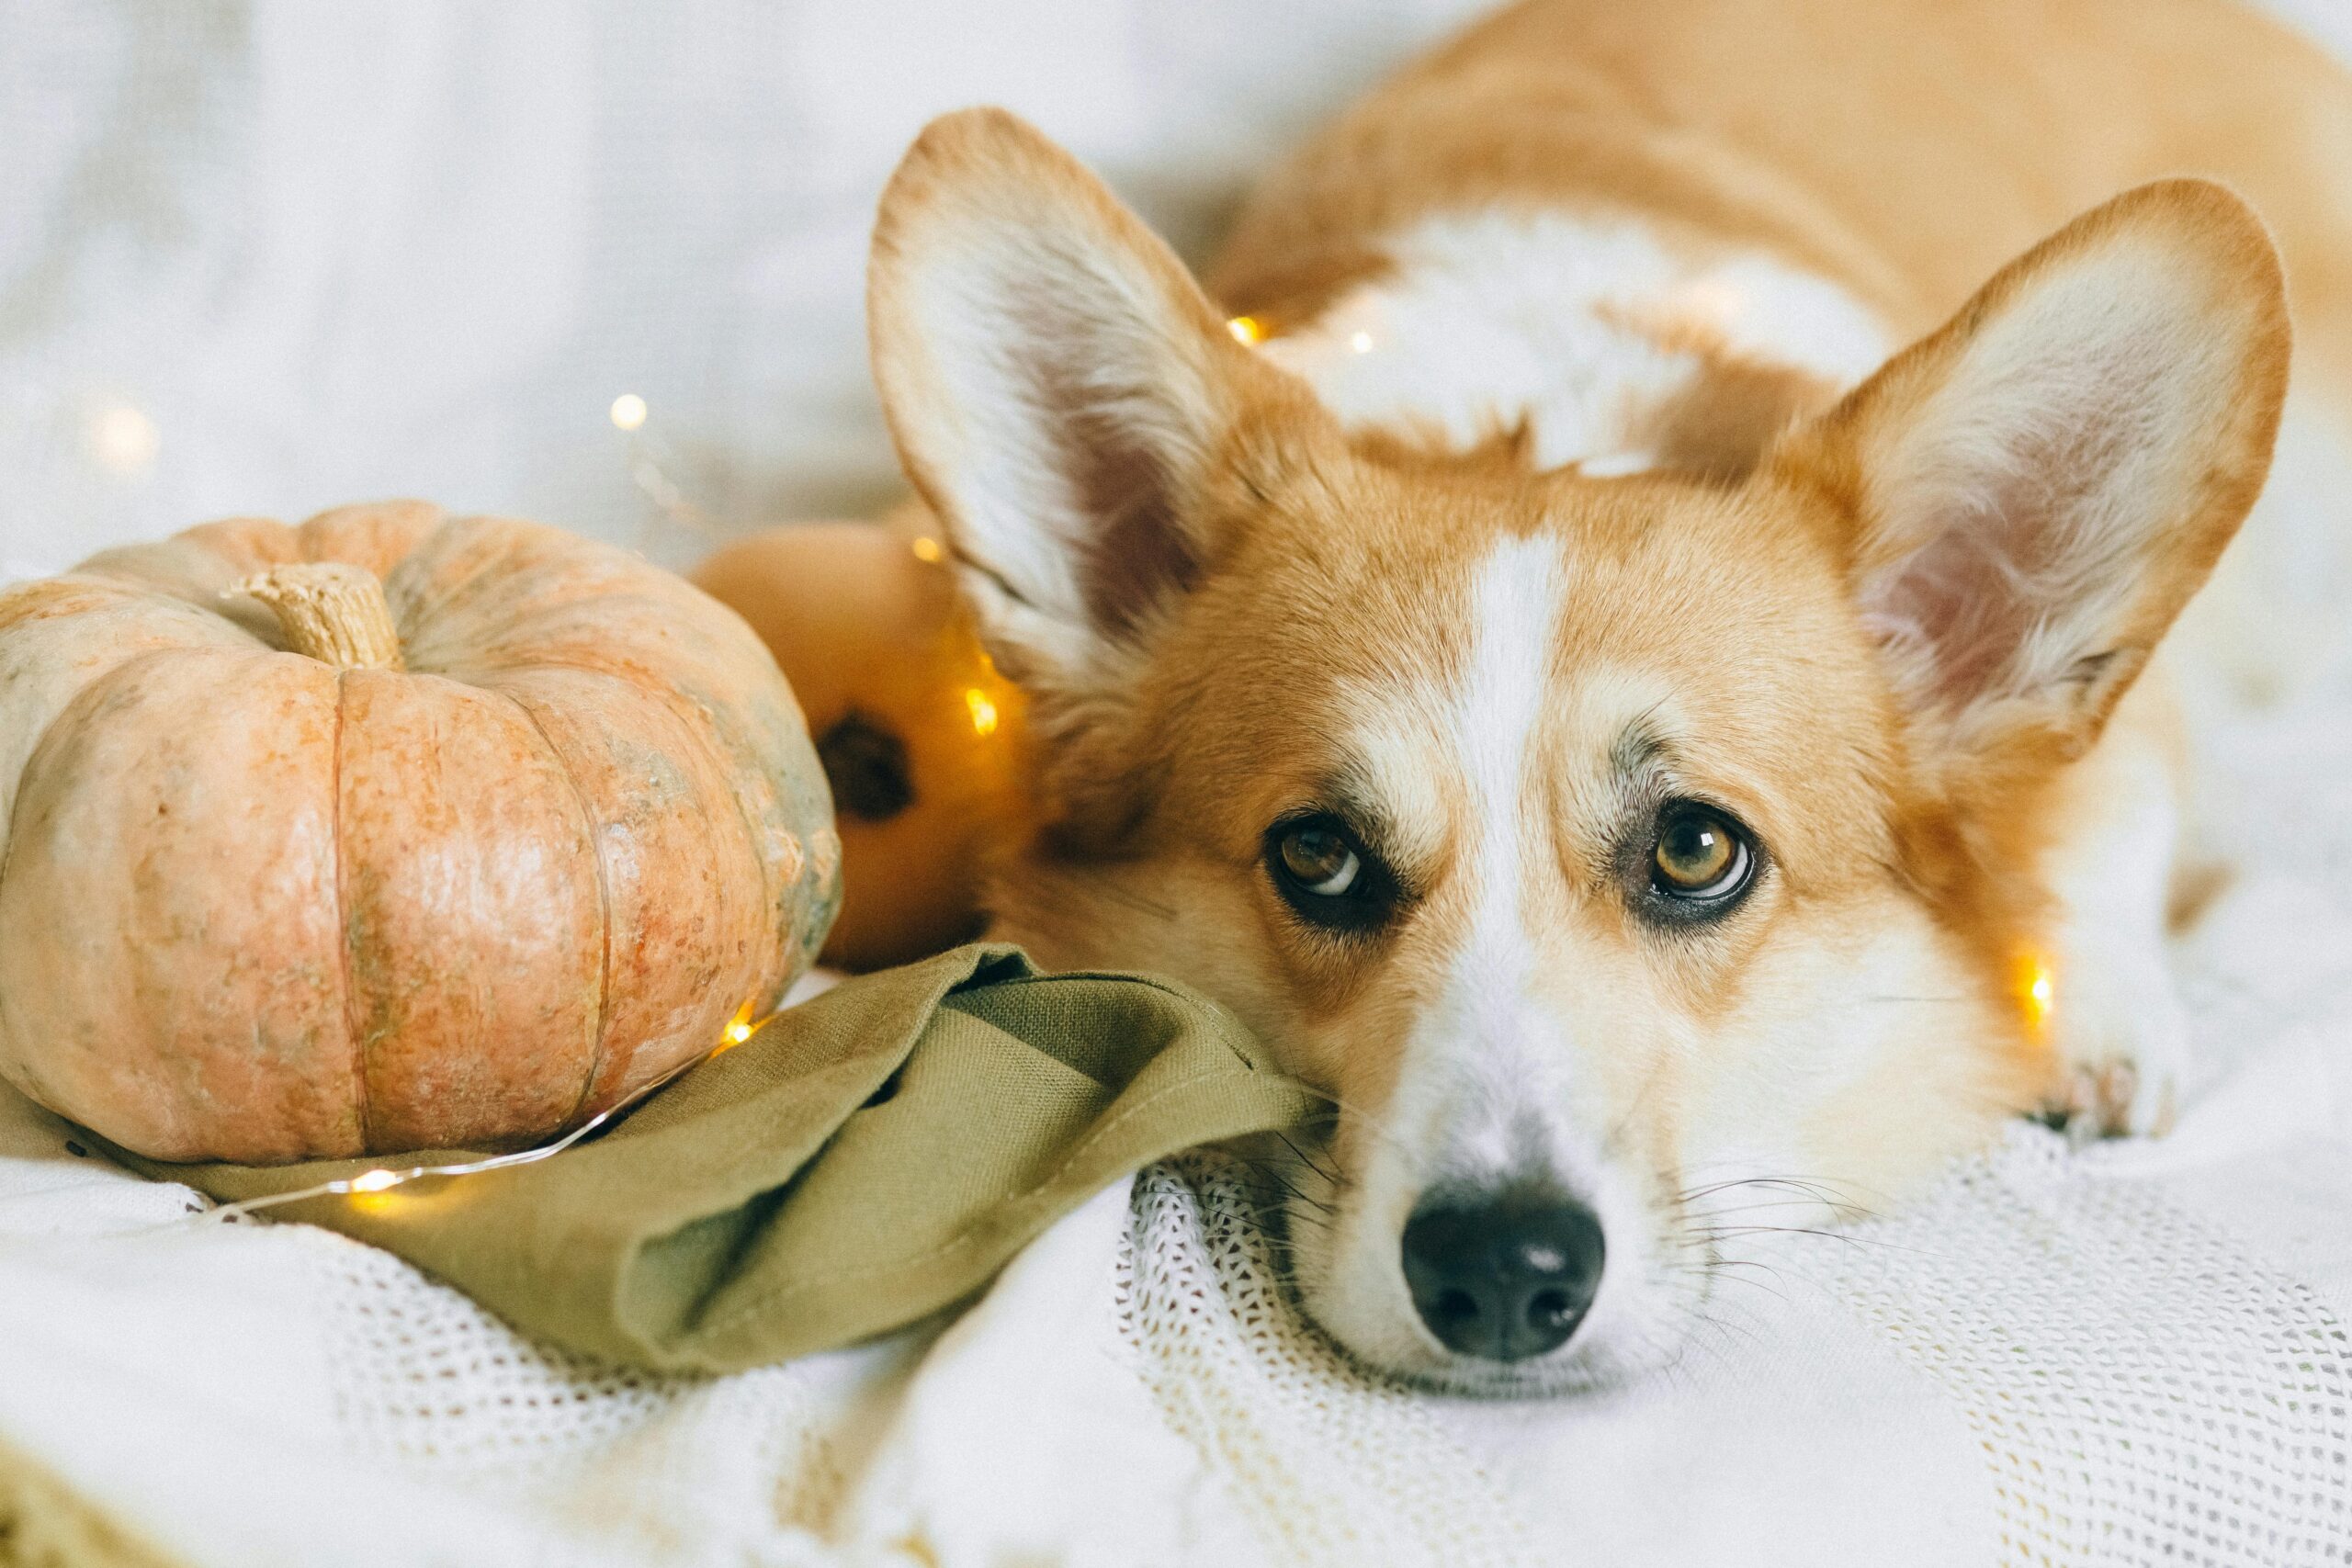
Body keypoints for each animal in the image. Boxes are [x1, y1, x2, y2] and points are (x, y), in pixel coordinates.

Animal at [870, 0, 2352, 1401]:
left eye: (1697, 849)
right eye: (1318, 855)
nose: (1501, 1276)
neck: (1551, 415)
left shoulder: (2132, 703)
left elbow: (2109, 795)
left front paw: (2103, 1012)